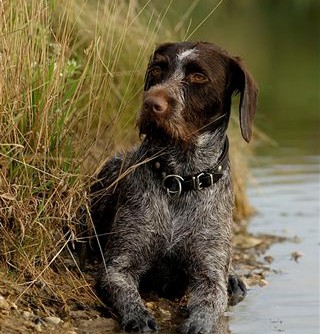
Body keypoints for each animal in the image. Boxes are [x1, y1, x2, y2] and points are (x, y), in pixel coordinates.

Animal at [88, 41, 258, 334]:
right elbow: (127, 293)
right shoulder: (118, 267)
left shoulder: (209, 276)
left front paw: (197, 325)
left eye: (198, 76)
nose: (150, 103)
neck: (180, 179)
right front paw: (139, 317)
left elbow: (209, 306)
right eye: (157, 69)